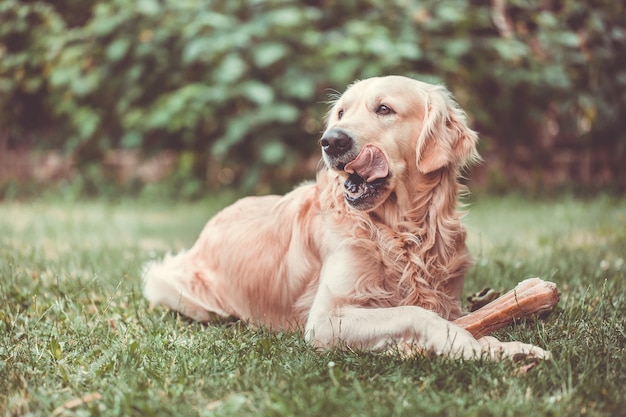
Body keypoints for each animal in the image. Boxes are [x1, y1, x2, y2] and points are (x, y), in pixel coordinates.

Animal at [141, 76, 544, 360]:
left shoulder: (447, 299)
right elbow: (415, 314)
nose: (331, 141)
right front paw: (469, 346)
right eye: (340, 113)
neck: (400, 233)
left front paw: (505, 347)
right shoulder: (325, 320)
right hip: (174, 286)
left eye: (384, 109)